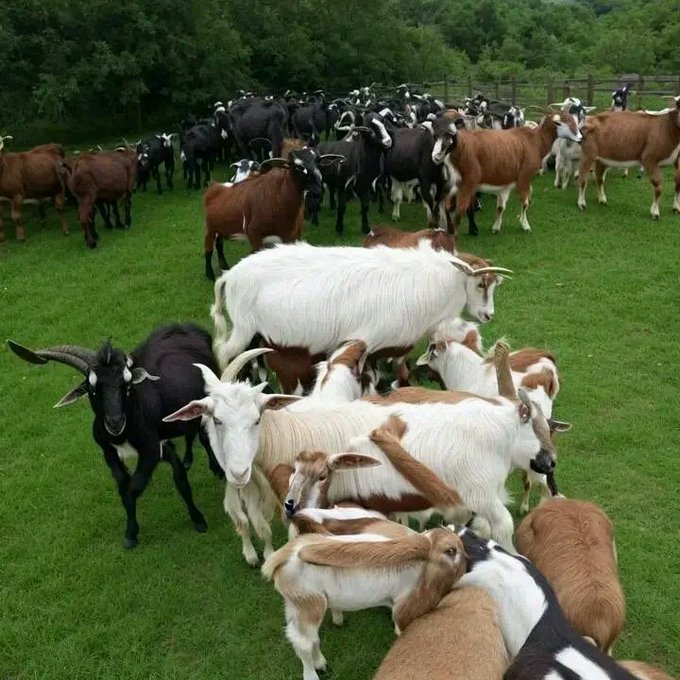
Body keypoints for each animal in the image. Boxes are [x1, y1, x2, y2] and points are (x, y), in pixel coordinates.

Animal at [8, 324, 223, 548]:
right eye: (92, 388)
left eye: (127, 386)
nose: (115, 422)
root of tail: (185, 326)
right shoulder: (110, 451)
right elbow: (124, 485)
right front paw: (131, 533)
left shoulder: (151, 449)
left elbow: (142, 486)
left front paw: (198, 521)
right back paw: (189, 458)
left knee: (204, 435)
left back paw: (216, 468)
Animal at [262, 527, 467, 680]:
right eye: (450, 551)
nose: (468, 559)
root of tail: (282, 557)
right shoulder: (402, 603)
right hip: (310, 604)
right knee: (304, 642)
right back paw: (313, 673)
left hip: (294, 605)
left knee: (304, 638)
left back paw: (320, 662)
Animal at [431, 111, 582, 234]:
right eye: (560, 123)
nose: (580, 138)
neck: (535, 141)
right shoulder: (524, 177)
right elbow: (525, 202)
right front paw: (525, 226)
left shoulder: (506, 184)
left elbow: (500, 207)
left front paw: (496, 228)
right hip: (467, 184)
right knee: (458, 213)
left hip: (452, 184)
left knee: (446, 207)